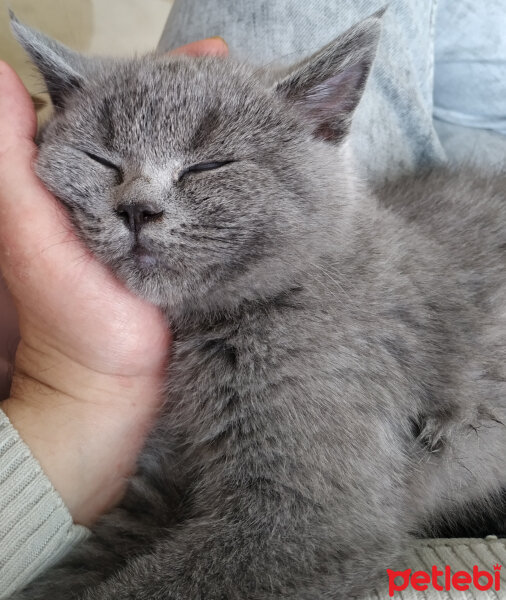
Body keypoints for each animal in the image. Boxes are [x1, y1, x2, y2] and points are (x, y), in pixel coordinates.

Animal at [8, 9, 506, 600]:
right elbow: (83, 563)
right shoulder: (159, 483)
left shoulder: (306, 518)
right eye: (101, 160)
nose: (136, 209)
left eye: (208, 166)